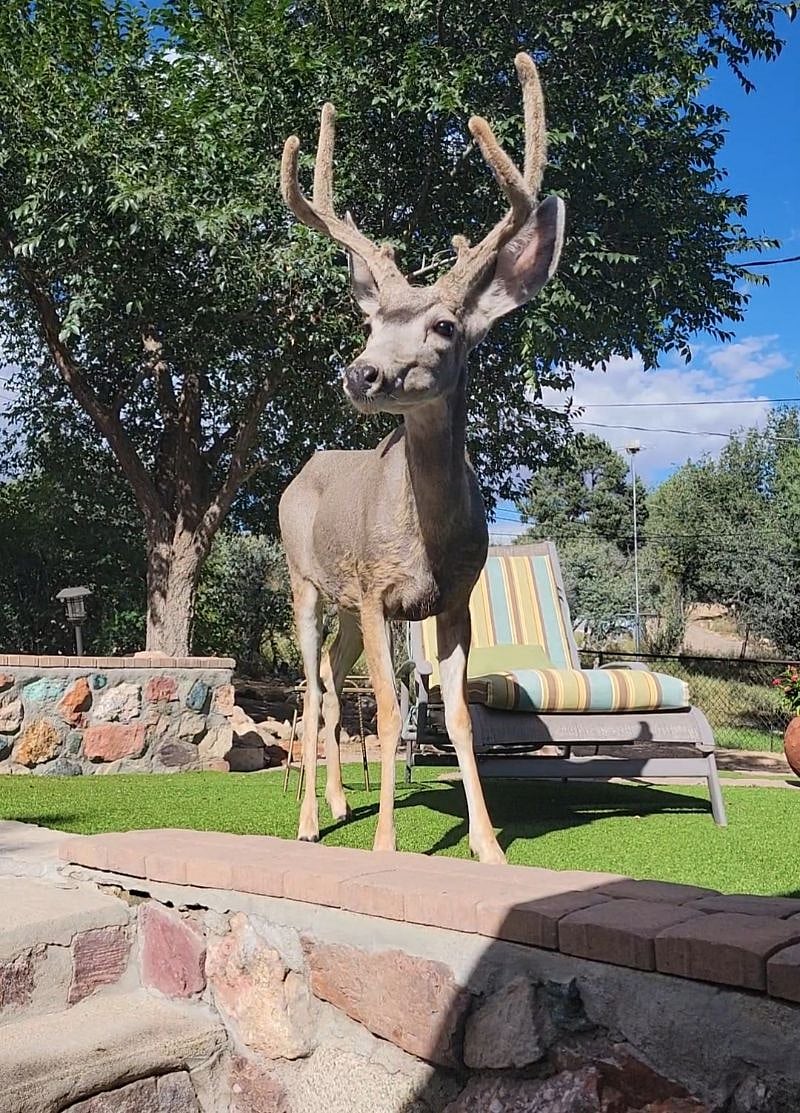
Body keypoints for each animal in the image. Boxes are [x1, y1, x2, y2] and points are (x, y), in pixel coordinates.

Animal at [278, 54, 565, 863]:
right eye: (371, 321)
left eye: (444, 325)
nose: (361, 373)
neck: (427, 537)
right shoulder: (379, 590)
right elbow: (388, 701)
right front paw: (384, 844)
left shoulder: (454, 596)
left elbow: (457, 712)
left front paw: (489, 845)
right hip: (305, 581)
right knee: (314, 687)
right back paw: (309, 821)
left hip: (345, 604)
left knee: (332, 685)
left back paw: (338, 799)